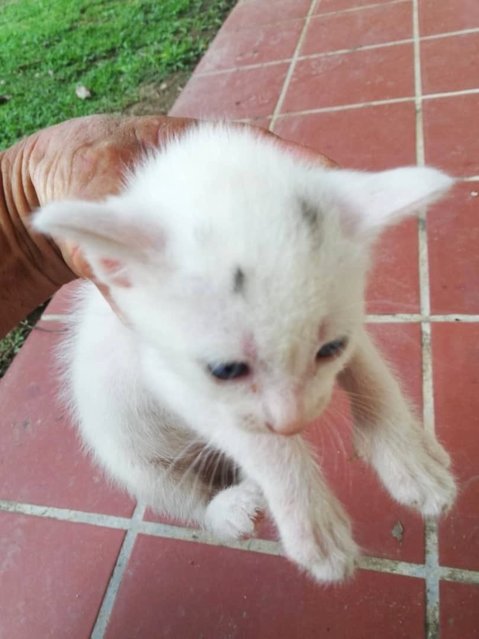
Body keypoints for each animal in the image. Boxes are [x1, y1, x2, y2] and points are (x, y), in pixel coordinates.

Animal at [33, 122, 458, 584]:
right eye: (225, 370)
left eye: (331, 348)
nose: (291, 423)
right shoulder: (165, 368)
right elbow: (260, 444)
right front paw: (314, 526)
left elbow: (371, 373)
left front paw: (412, 461)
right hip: (120, 450)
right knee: (170, 489)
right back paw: (228, 509)